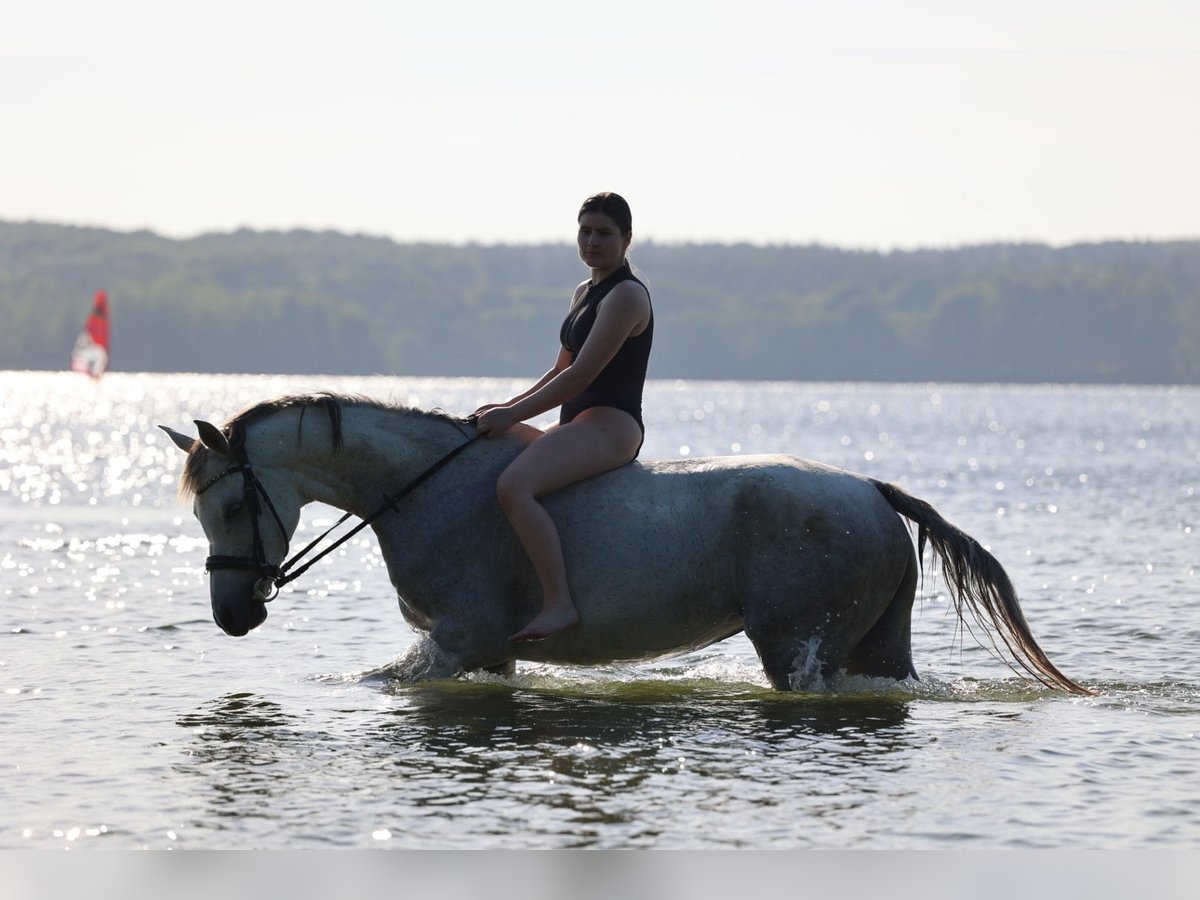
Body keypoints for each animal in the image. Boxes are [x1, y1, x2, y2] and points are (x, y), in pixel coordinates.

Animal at [159, 391, 1089, 696]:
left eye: (233, 503)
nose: (233, 615)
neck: (423, 487)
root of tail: (870, 490)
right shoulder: (485, 652)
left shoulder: (457, 640)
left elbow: (383, 682)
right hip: (877, 644)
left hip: (800, 646)